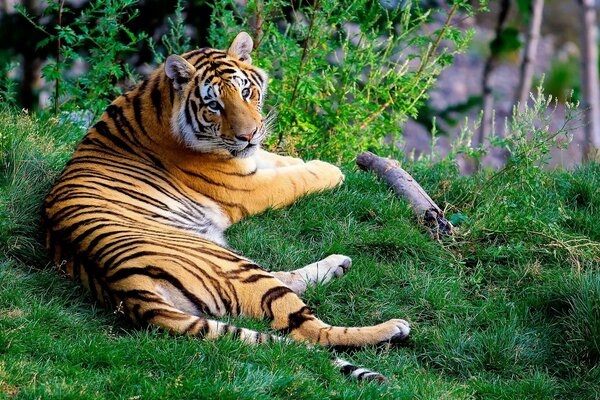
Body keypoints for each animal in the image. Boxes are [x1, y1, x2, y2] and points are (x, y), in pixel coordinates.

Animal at [41, 32, 408, 382]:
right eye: (214, 105)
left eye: (246, 92)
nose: (249, 135)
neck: (157, 100)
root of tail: (124, 288)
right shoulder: (247, 187)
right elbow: (293, 179)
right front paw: (330, 170)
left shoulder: (251, 161)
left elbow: (279, 160)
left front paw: (305, 160)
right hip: (232, 265)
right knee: (309, 330)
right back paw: (392, 327)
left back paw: (338, 265)